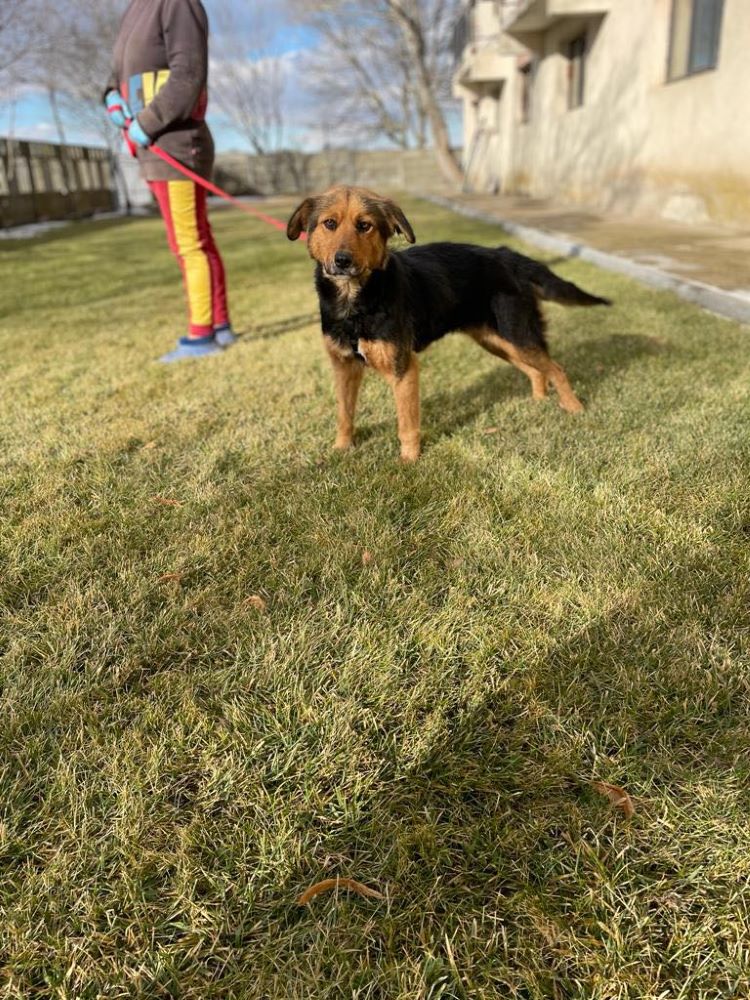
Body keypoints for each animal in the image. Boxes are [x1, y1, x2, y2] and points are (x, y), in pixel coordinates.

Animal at [288, 186, 612, 462]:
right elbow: (345, 414)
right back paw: (539, 403)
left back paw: (574, 409)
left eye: (364, 225)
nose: (342, 261)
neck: (354, 302)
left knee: (556, 369)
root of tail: (507, 255)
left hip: (517, 335)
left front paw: (409, 463)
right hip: (498, 342)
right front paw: (341, 449)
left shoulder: (404, 369)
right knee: (536, 371)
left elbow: (406, 424)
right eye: (329, 224)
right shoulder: (344, 367)